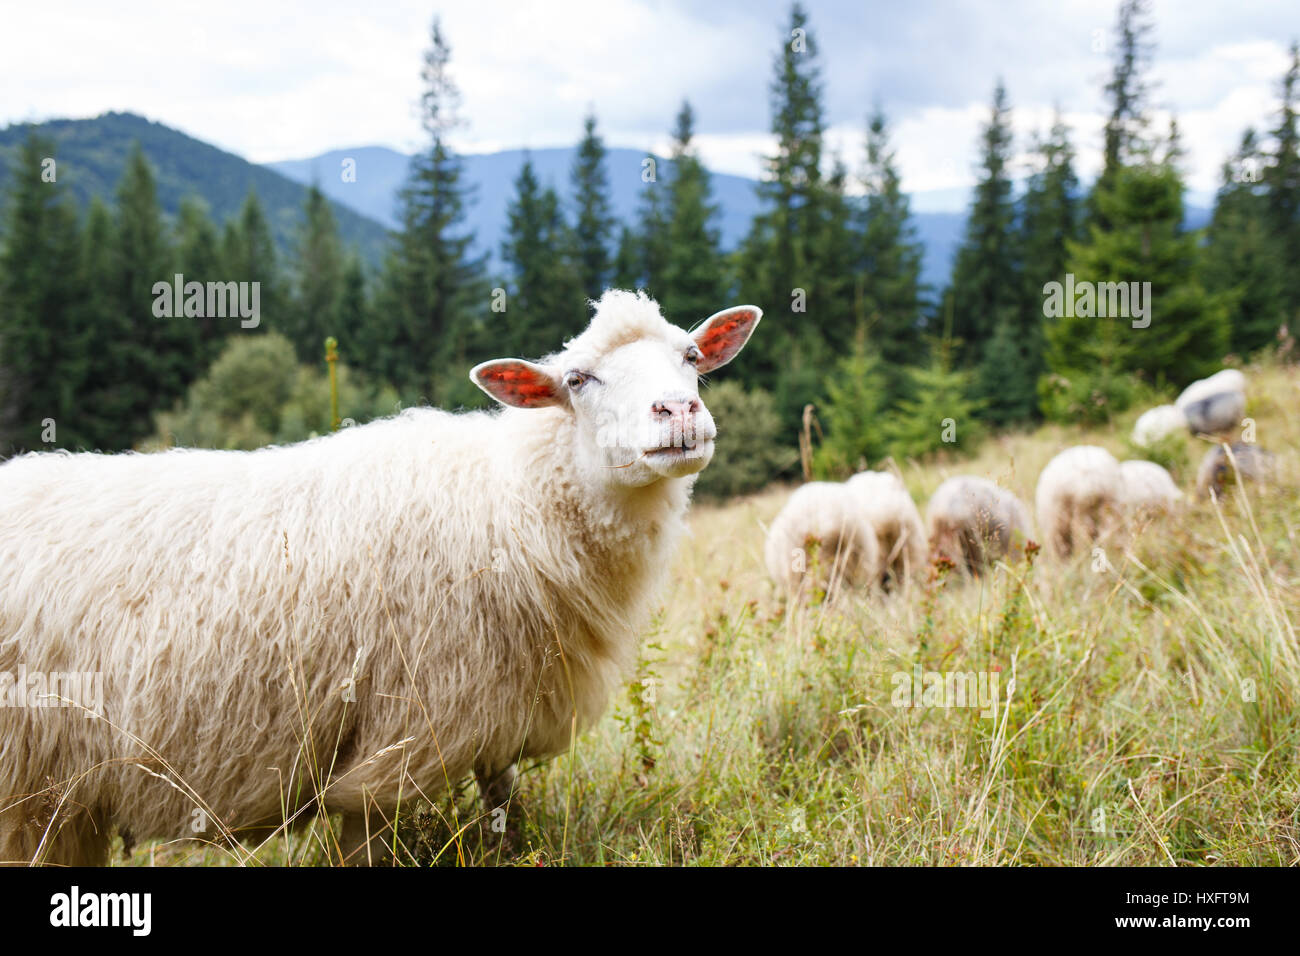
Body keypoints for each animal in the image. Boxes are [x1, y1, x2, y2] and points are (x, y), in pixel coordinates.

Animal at [0, 290, 761, 866]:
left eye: (691, 357)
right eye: (577, 379)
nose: (679, 413)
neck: (513, 500)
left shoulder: (496, 726)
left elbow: (503, 819)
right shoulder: (399, 741)